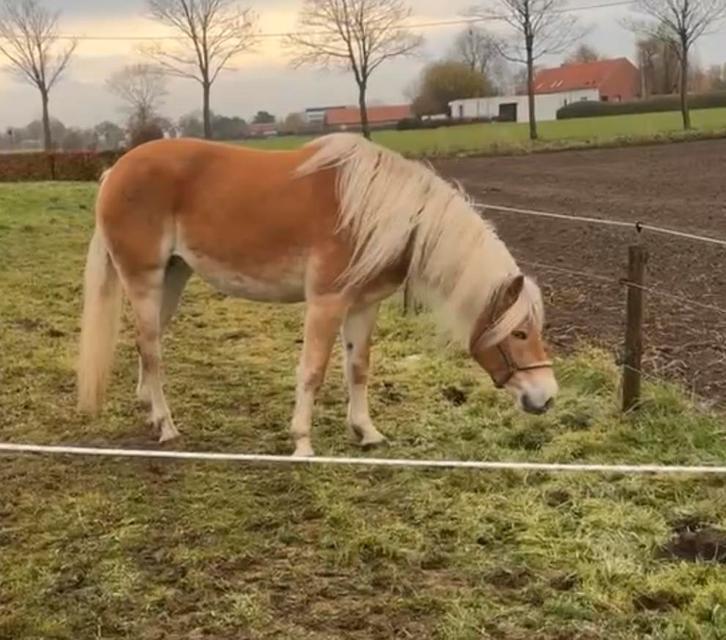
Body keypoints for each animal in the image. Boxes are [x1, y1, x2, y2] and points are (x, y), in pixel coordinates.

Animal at [77, 133, 558, 457]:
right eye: (520, 333)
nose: (546, 397)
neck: (374, 212)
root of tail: (114, 172)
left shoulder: (364, 305)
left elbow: (358, 369)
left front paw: (367, 432)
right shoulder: (326, 303)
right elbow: (312, 371)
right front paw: (303, 443)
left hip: (173, 277)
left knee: (147, 343)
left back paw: (149, 408)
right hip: (144, 279)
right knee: (151, 348)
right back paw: (167, 425)